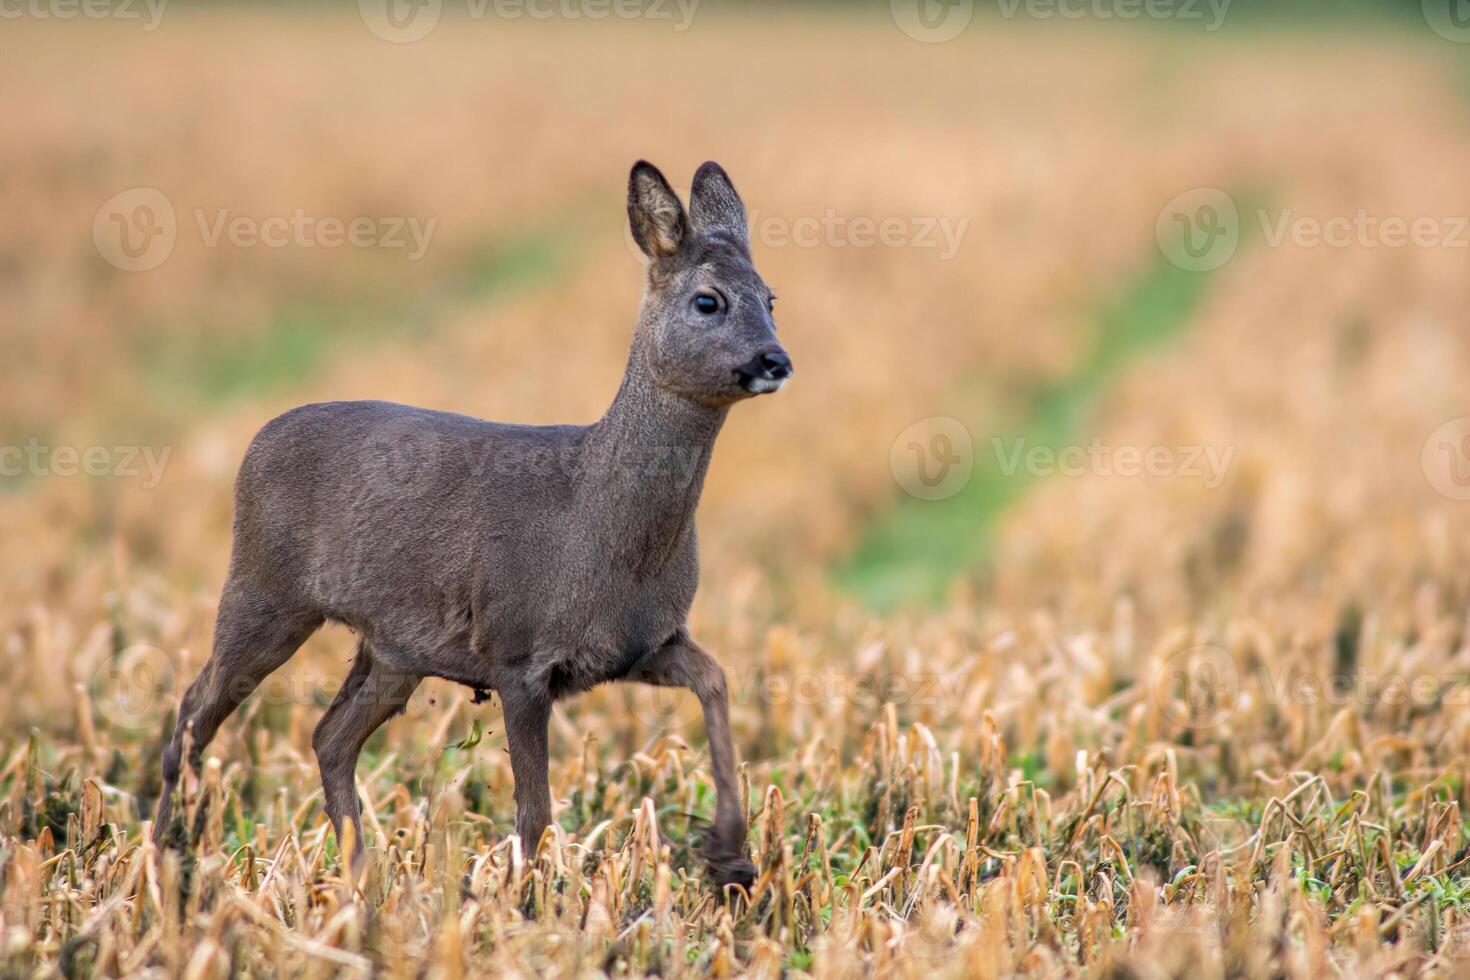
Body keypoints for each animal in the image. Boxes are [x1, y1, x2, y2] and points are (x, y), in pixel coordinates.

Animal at [152, 159, 793, 887]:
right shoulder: (517, 652)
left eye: (771, 298)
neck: (603, 529)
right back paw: (166, 856)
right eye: (708, 301)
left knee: (329, 736)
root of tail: (257, 438)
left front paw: (731, 853)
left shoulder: (644, 642)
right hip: (262, 589)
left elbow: (717, 680)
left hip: (393, 647)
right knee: (192, 713)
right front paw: (523, 899)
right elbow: (535, 812)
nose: (776, 360)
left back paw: (361, 878)